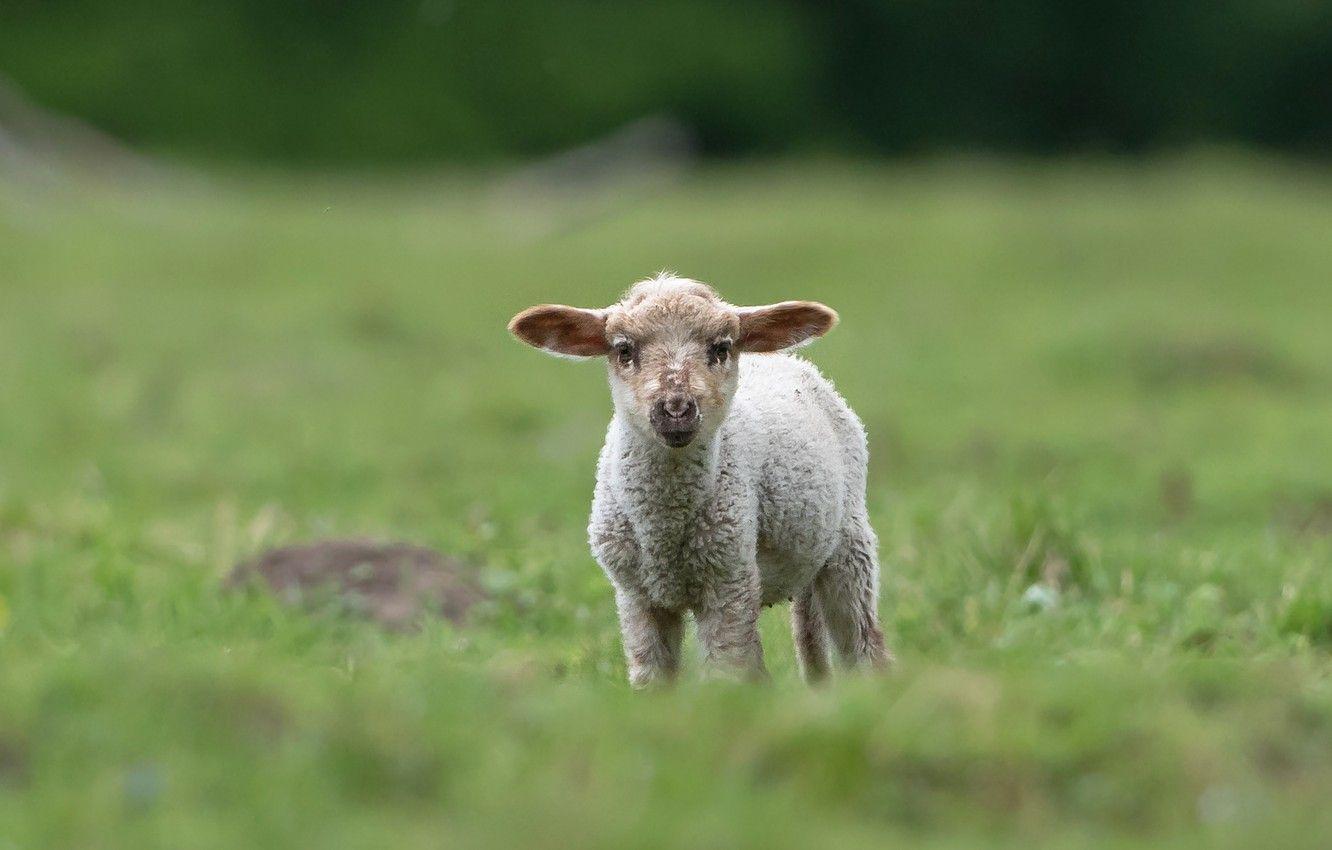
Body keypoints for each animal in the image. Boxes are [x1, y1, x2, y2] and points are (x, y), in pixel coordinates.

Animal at [508, 273, 891, 686]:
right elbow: (655, 680)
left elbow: (727, 672)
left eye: (721, 348)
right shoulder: (635, 594)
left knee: (863, 643)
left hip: (849, 543)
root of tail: (789, 359)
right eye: (624, 349)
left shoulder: (727, 580)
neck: (664, 528)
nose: (676, 409)